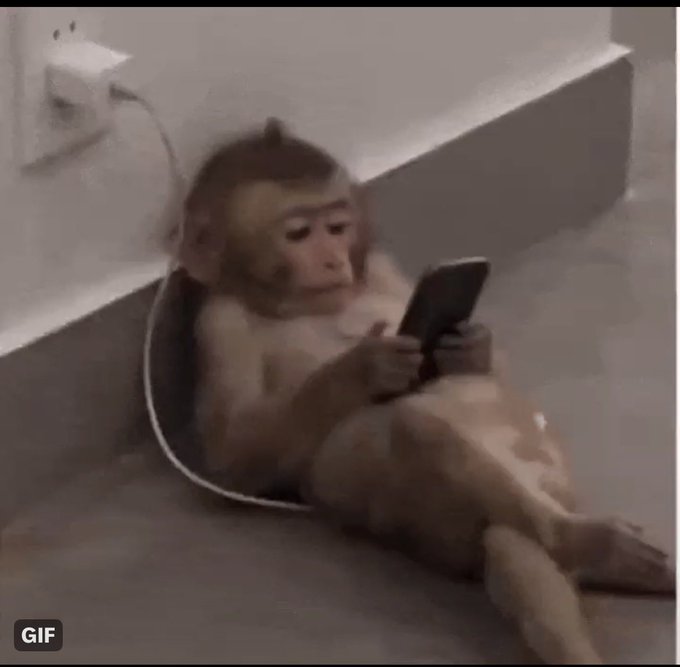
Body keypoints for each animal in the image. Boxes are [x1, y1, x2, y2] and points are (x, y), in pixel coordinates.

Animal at [177, 118, 674, 665]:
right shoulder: (219, 324)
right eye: (299, 233)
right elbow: (232, 458)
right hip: (432, 525)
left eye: (337, 227)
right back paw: (582, 545)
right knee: (424, 444)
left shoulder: (380, 265)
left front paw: (471, 342)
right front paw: (364, 365)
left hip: (552, 474)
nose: (332, 260)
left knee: (510, 537)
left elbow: (489, 366)